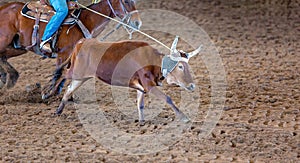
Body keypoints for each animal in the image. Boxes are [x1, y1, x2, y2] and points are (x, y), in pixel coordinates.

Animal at [0, 0, 141, 91]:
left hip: (18, 47)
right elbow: (58, 73)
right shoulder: (63, 53)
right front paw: (47, 94)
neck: (86, 21)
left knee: (3, 57)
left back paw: (7, 78)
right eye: (126, 1)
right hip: (5, 41)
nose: (137, 22)